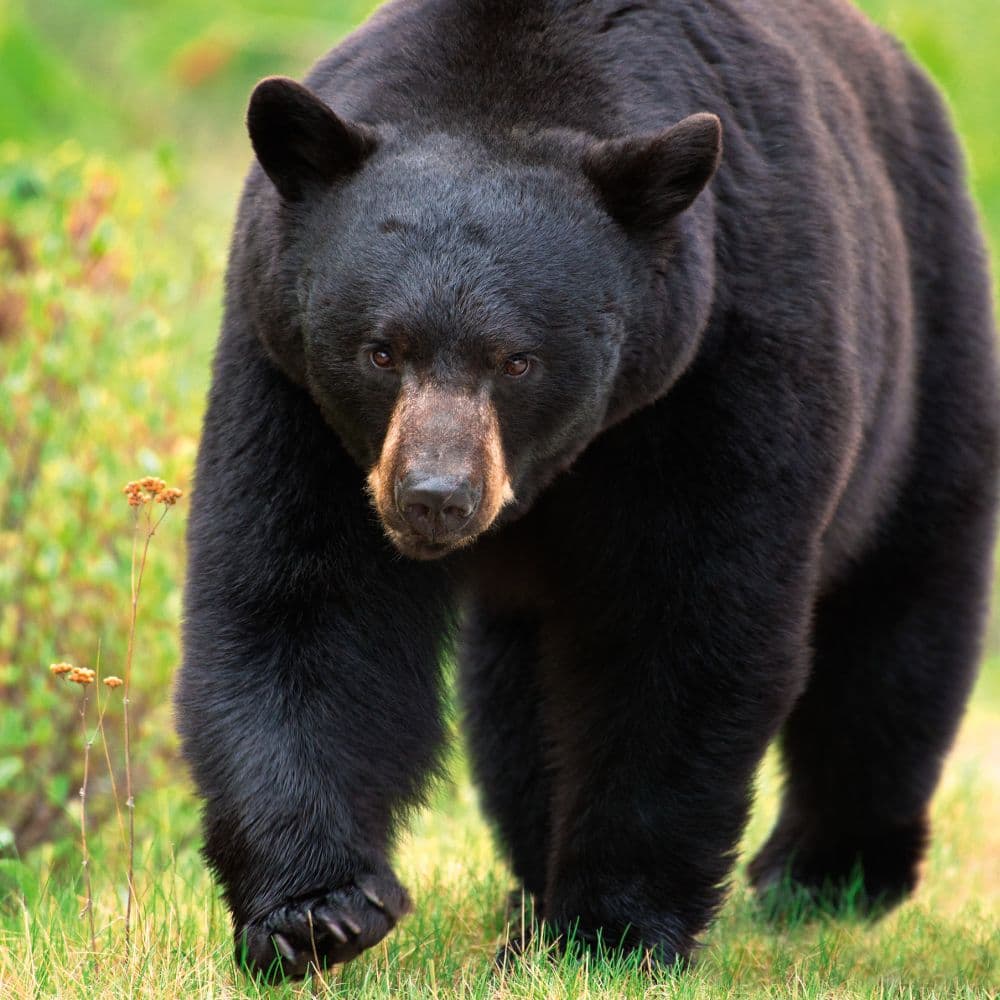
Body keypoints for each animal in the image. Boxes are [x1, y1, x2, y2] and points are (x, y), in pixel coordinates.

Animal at [175, 0, 1000, 980]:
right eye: (380, 350)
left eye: (517, 359)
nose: (434, 497)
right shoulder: (289, 375)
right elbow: (304, 599)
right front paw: (315, 911)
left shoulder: (721, 362)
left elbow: (679, 626)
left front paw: (613, 930)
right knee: (519, 690)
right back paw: (531, 890)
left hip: (928, 347)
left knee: (897, 624)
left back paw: (828, 874)